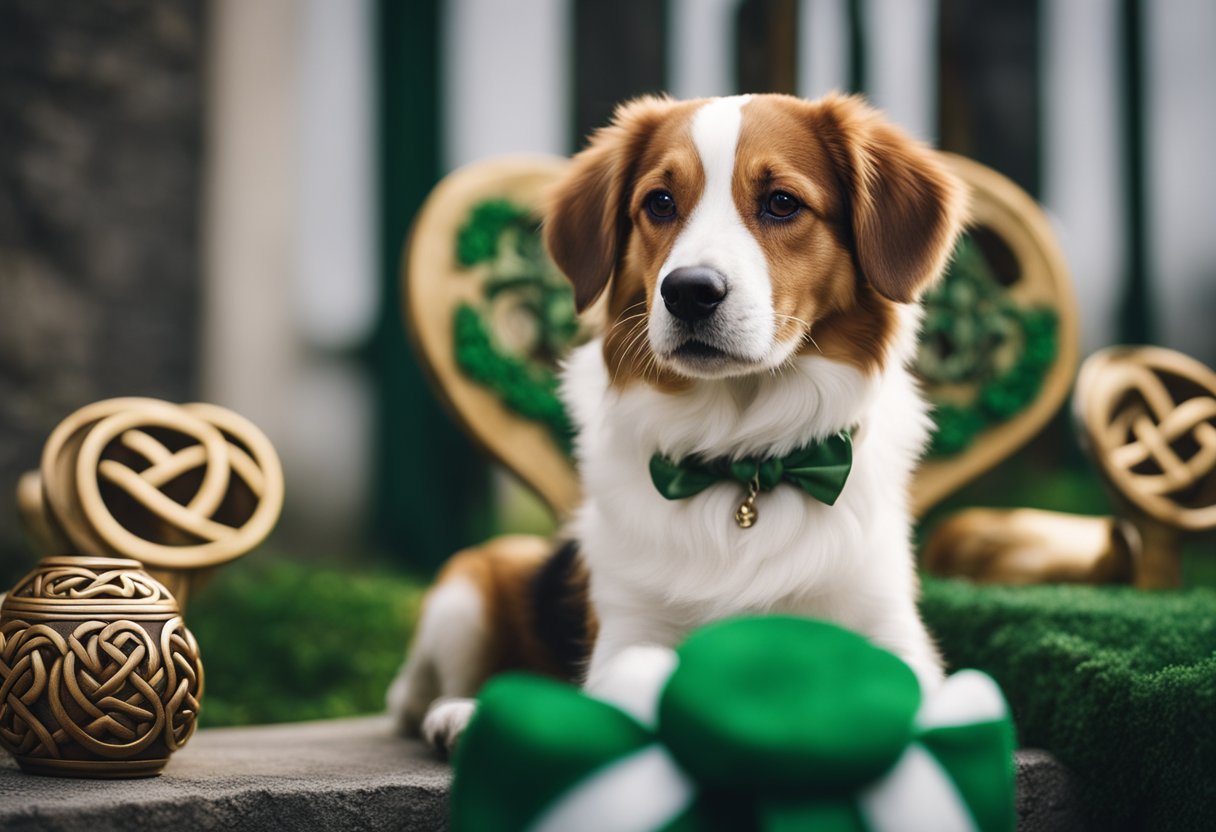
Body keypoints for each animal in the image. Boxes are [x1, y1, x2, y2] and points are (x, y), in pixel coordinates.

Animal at [391, 94, 967, 749]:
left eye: (782, 202)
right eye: (660, 202)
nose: (689, 291)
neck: (743, 468)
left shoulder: (896, 637)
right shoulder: (624, 635)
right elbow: (655, 674)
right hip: (467, 588)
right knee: (416, 698)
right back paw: (463, 713)